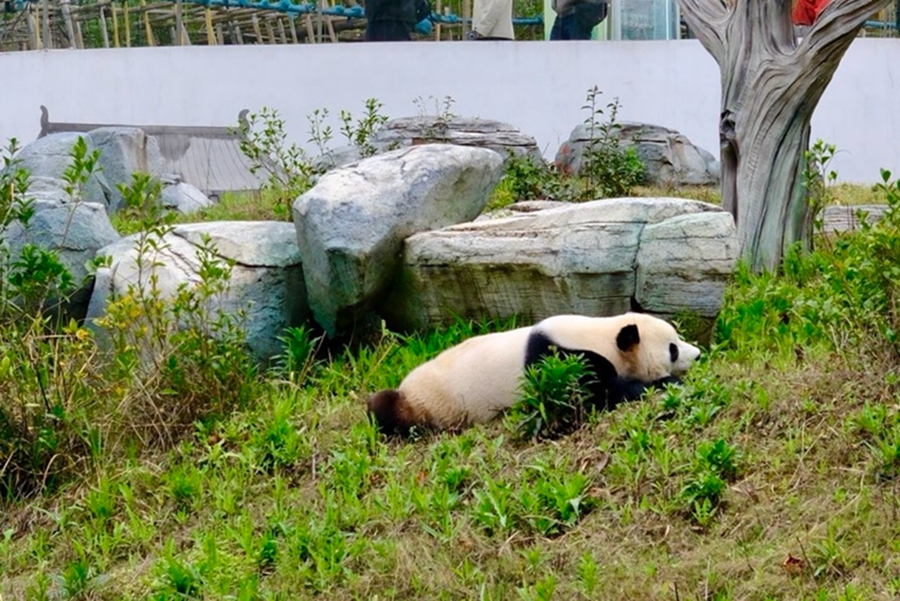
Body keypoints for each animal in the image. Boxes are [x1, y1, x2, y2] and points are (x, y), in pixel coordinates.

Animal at [366, 312, 701, 435]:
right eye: (672, 348)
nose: (698, 354)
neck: (600, 334)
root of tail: (407, 385)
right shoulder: (557, 361)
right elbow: (591, 394)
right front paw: (663, 383)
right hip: (425, 403)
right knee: (384, 407)